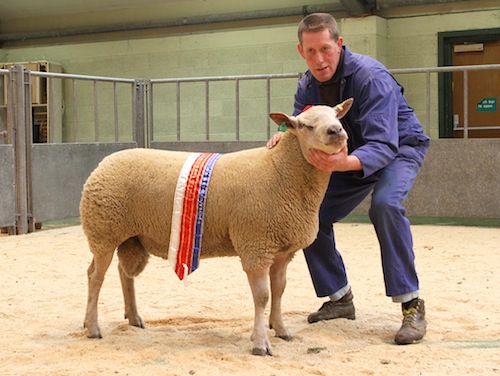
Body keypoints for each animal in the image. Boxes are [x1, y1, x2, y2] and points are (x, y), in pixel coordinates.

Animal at [81, 97, 352, 356]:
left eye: (336, 115)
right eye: (304, 125)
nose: (336, 131)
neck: (279, 170)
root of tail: (102, 164)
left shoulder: (281, 250)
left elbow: (279, 290)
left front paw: (280, 329)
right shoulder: (256, 244)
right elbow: (262, 296)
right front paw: (260, 343)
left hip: (130, 237)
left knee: (121, 273)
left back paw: (132, 318)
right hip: (104, 231)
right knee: (95, 276)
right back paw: (93, 327)